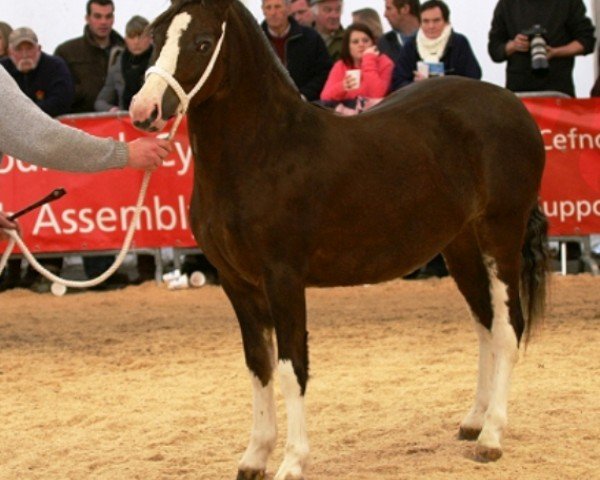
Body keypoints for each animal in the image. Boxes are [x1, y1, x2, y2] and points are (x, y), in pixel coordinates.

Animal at [130, 1, 548, 478]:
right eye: (156, 37)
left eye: (201, 42)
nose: (143, 110)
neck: (263, 153)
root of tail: (515, 107)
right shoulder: (236, 282)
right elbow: (258, 365)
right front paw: (255, 456)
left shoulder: (283, 278)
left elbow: (291, 368)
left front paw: (293, 461)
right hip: (460, 245)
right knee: (485, 324)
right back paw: (474, 421)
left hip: (501, 234)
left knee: (508, 327)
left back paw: (492, 437)